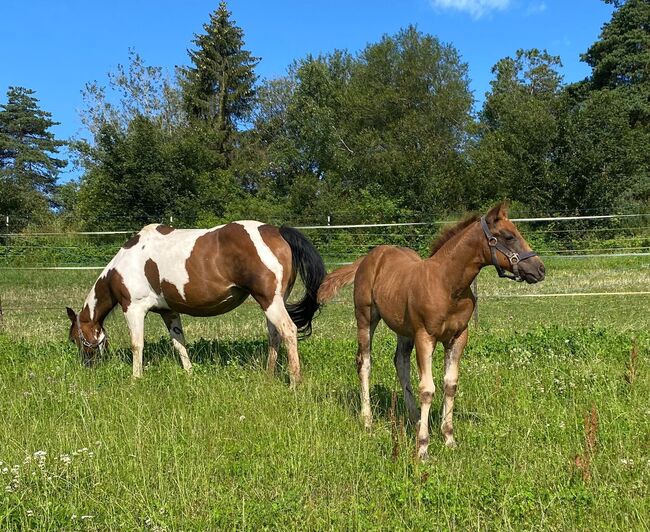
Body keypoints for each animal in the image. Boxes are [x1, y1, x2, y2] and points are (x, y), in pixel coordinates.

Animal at [66, 220, 324, 386]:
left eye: (75, 338)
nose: (88, 367)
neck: (123, 266)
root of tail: (277, 231)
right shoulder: (169, 311)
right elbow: (179, 343)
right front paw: (189, 374)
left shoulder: (134, 309)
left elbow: (136, 345)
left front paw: (135, 378)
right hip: (274, 302)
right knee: (274, 335)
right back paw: (269, 377)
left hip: (270, 301)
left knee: (288, 331)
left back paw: (294, 382)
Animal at [316, 203, 544, 458]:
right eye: (509, 236)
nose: (540, 269)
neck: (448, 285)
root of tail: (368, 257)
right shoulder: (425, 336)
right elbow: (427, 389)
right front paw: (423, 447)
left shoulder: (458, 337)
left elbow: (450, 384)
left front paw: (448, 438)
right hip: (366, 318)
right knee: (364, 362)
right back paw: (367, 420)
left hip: (404, 330)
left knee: (400, 363)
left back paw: (414, 417)